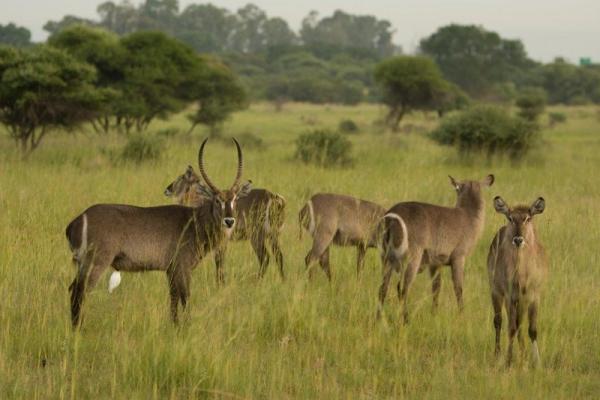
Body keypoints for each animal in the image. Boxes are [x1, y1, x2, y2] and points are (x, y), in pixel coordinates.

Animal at [61, 139, 248, 326]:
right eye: (217, 200)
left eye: (235, 199)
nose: (229, 221)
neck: (195, 222)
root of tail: (76, 220)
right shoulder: (183, 267)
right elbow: (186, 298)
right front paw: (187, 326)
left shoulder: (170, 270)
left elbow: (173, 300)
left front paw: (174, 326)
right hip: (97, 262)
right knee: (79, 291)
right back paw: (78, 328)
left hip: (83, 263)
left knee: (73, 289)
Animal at [488, 195, 548, 368]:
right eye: (510, 217)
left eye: (528, 218)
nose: (518, 239)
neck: (522, 276)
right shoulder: (510, 296)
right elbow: (511, 328)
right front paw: (508, 361)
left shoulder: (534, 296)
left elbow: (532, 329)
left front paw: (537, 362)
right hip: (496, 291)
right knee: (500, 321)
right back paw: (498, 353)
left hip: (521, 301)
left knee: (519, 323)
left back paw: (522, 352)